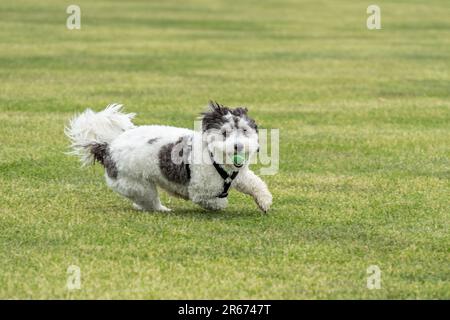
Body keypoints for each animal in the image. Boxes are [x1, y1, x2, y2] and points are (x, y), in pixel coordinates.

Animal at [65, 102, 272, 212]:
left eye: (244, 131)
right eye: (224, 133)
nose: (238, 146)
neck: (217, 160)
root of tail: (108, 148)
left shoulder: (240, 176)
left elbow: (256, 184)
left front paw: (264, 201)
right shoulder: (200, 191)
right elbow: (215, 202)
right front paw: (221, 203)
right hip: (138, 184)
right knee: (150, 201)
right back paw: (163, 210)